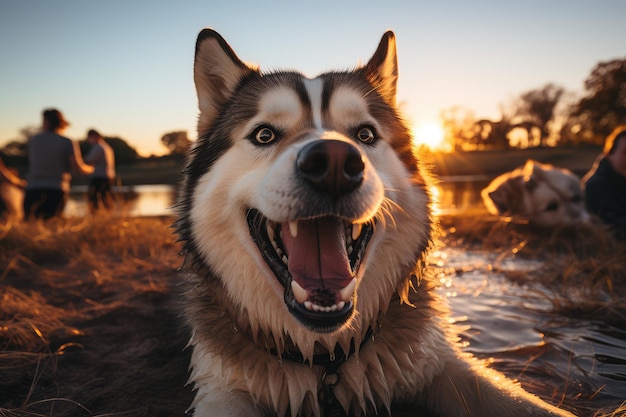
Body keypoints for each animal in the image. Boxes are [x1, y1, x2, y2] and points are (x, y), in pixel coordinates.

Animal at [173, 30, 572, 416]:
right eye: (264, 134)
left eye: (365, 134)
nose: (333, 163)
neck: (324, 358)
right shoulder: (223, 387)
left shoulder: (436, 360)